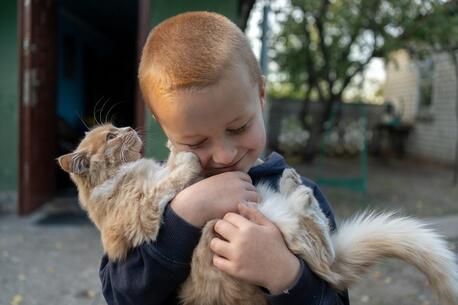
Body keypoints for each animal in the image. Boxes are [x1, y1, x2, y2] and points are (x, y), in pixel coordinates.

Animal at [58, 123, 458, 304]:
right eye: (111, 137)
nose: (128, 127)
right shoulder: (144, 212)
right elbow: (171, 181)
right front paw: (186, 159)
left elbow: (171, 167)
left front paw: (178, 151)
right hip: (291, 235)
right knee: (320, 248)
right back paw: (298, 190)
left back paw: (293, 183)